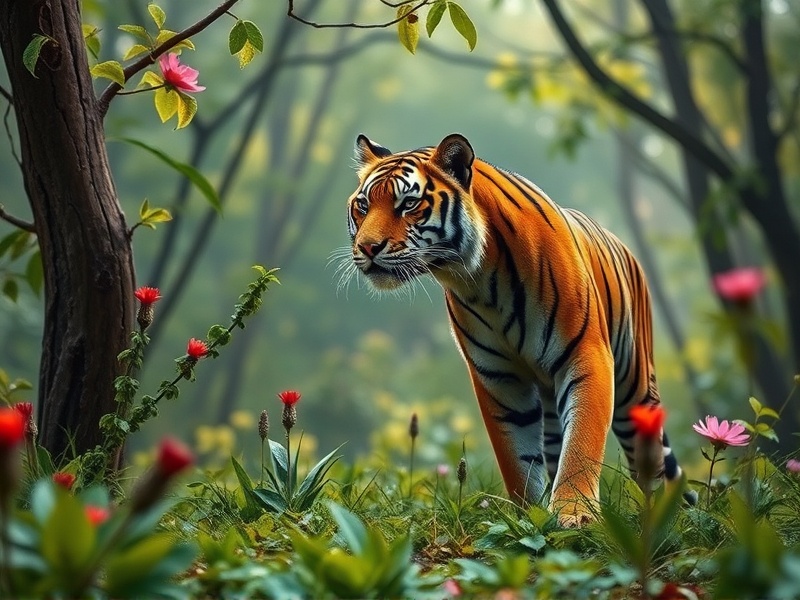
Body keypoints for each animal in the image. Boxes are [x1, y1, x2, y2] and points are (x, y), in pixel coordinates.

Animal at [343, 133, 686, 526]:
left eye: (409, 204)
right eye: (363, 206)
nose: (367, 247)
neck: (480, 278)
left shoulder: (587, 356)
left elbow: (582, 442)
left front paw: (575, 515)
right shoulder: (497, 376)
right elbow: (516, 456)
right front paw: (529, 515)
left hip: (636, 389)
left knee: (651, 464)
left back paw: (659, 515)